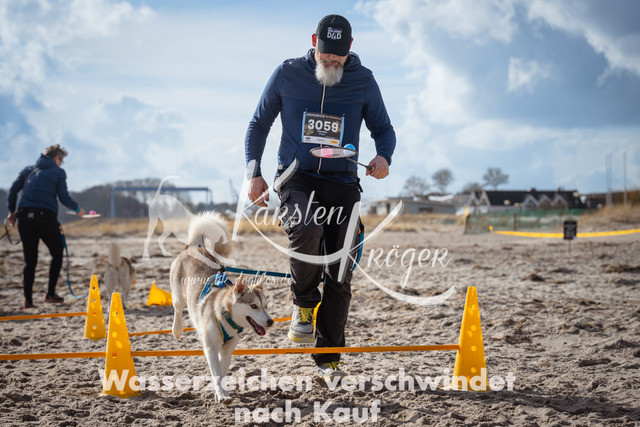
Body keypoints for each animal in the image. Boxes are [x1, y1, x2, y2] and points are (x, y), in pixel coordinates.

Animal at [169, 211, 274, 403]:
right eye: (253, 306)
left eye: (265, 305)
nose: (270, 322)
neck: (224, 316)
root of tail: (194, 247)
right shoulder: (210, 347)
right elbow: (216, 371)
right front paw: (221, 394)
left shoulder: (227, 349)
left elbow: (222, 372)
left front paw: (221, 392)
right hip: (178, 295)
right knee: (178, 308)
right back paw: (177, 329)